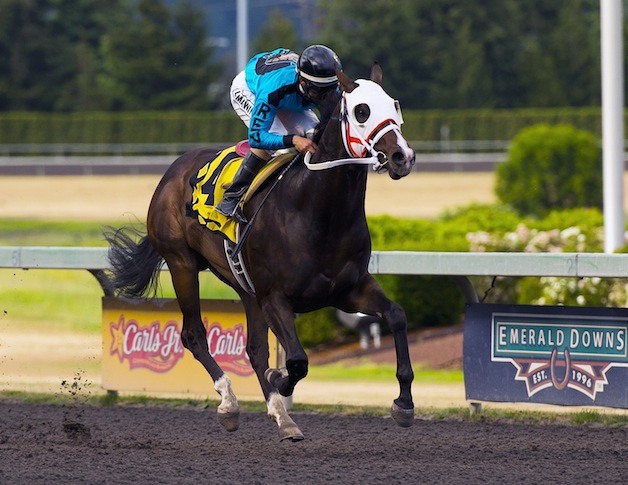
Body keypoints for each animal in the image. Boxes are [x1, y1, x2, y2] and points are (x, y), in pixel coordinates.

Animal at [106, 63, 418, 438]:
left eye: (395, 105)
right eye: (361, 111)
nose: (403, 157)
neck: (317, 212)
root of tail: (172, 172)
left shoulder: (349, 290)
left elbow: (397, 315)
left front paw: (403, 403)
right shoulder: (275, 297)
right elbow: (297, 361)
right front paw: (279, 381)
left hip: (244, 286)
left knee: (254, 349)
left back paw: (283, 418)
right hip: (182, 264)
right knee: (194, 335)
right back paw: (229, 403)